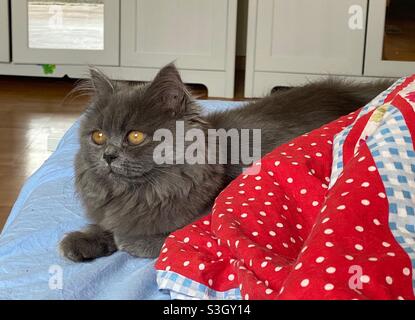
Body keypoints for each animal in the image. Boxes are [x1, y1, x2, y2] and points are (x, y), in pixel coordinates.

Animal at [59, 63, 394, 262]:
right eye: (98, 136)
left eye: (136, 136)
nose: (108, 155)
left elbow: (149, 236)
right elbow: (108, 223)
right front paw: (81, 240)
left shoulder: (201, 223)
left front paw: (123, 239)